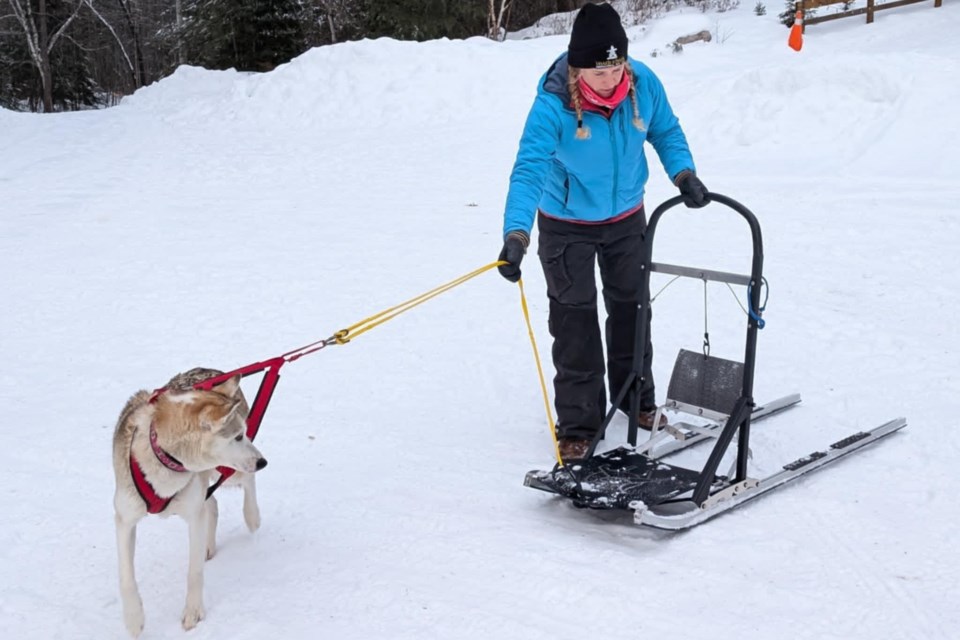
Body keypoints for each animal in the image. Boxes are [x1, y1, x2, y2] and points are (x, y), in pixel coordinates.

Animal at [114, 368, 268, 636]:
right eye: (238, 436)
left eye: (244, 433)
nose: (263, 461)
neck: (165, 458)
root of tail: (212, 372)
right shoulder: (125, 519)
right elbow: (126, 577)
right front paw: (134, 620)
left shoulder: (193, 516)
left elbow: (194, 572)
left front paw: (193, 613)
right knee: (213, 504)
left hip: (228, 471)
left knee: (246, 481)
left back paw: (252, 516)